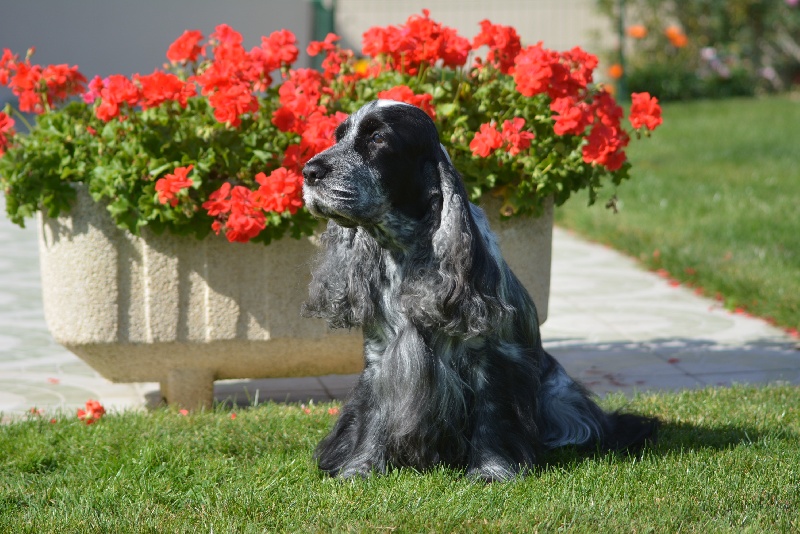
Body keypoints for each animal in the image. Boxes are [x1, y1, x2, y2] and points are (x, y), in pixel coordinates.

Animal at [300, 99, 656, 482]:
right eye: (338, 137)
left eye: (378, 138)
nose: (309, 171)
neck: (406, 253)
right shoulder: (380, 356)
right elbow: (370, 417)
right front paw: (358, 469)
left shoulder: (493, 358)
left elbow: (492, 416)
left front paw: (491, 470)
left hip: (560, 394)